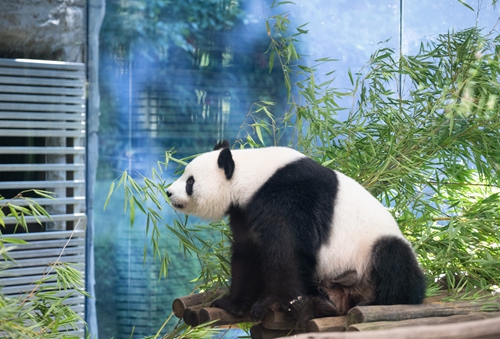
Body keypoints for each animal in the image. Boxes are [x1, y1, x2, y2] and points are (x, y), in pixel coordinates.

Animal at [167, 140, 426, 324]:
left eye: (190, 181)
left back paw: (374, 301)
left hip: (371, 251)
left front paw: (274, 303)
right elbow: (247, 254)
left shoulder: (289, 197)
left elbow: (287, 251)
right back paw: (322, 301)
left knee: (394, 260)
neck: (251, 177)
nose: (169, 192)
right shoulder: (244, 212)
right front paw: (231, 303)